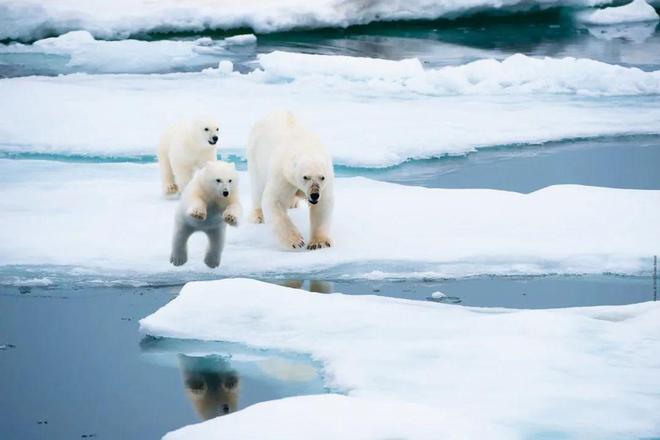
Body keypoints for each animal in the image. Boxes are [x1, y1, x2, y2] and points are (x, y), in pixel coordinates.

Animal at [246, 111, 336, 251]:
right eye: (305, 177)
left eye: (322, 177)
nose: (314, 195)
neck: (306, 147)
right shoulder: (283, 175)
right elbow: (275, 200)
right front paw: (296, 241)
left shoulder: (326, 182)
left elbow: (323, 205)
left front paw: (319, 243)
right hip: (255, 155)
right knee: (257, 186)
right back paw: (258, 216)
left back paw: (293, 203)